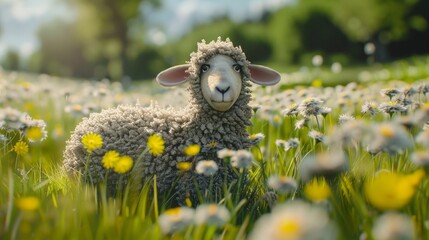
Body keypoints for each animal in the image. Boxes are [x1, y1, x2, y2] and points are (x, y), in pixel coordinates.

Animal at [61, 37, 280, 204]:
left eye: (236, 67)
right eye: (204, 68)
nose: (222, 89)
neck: (195, 130)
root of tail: (85, 123)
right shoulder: (193, 188)